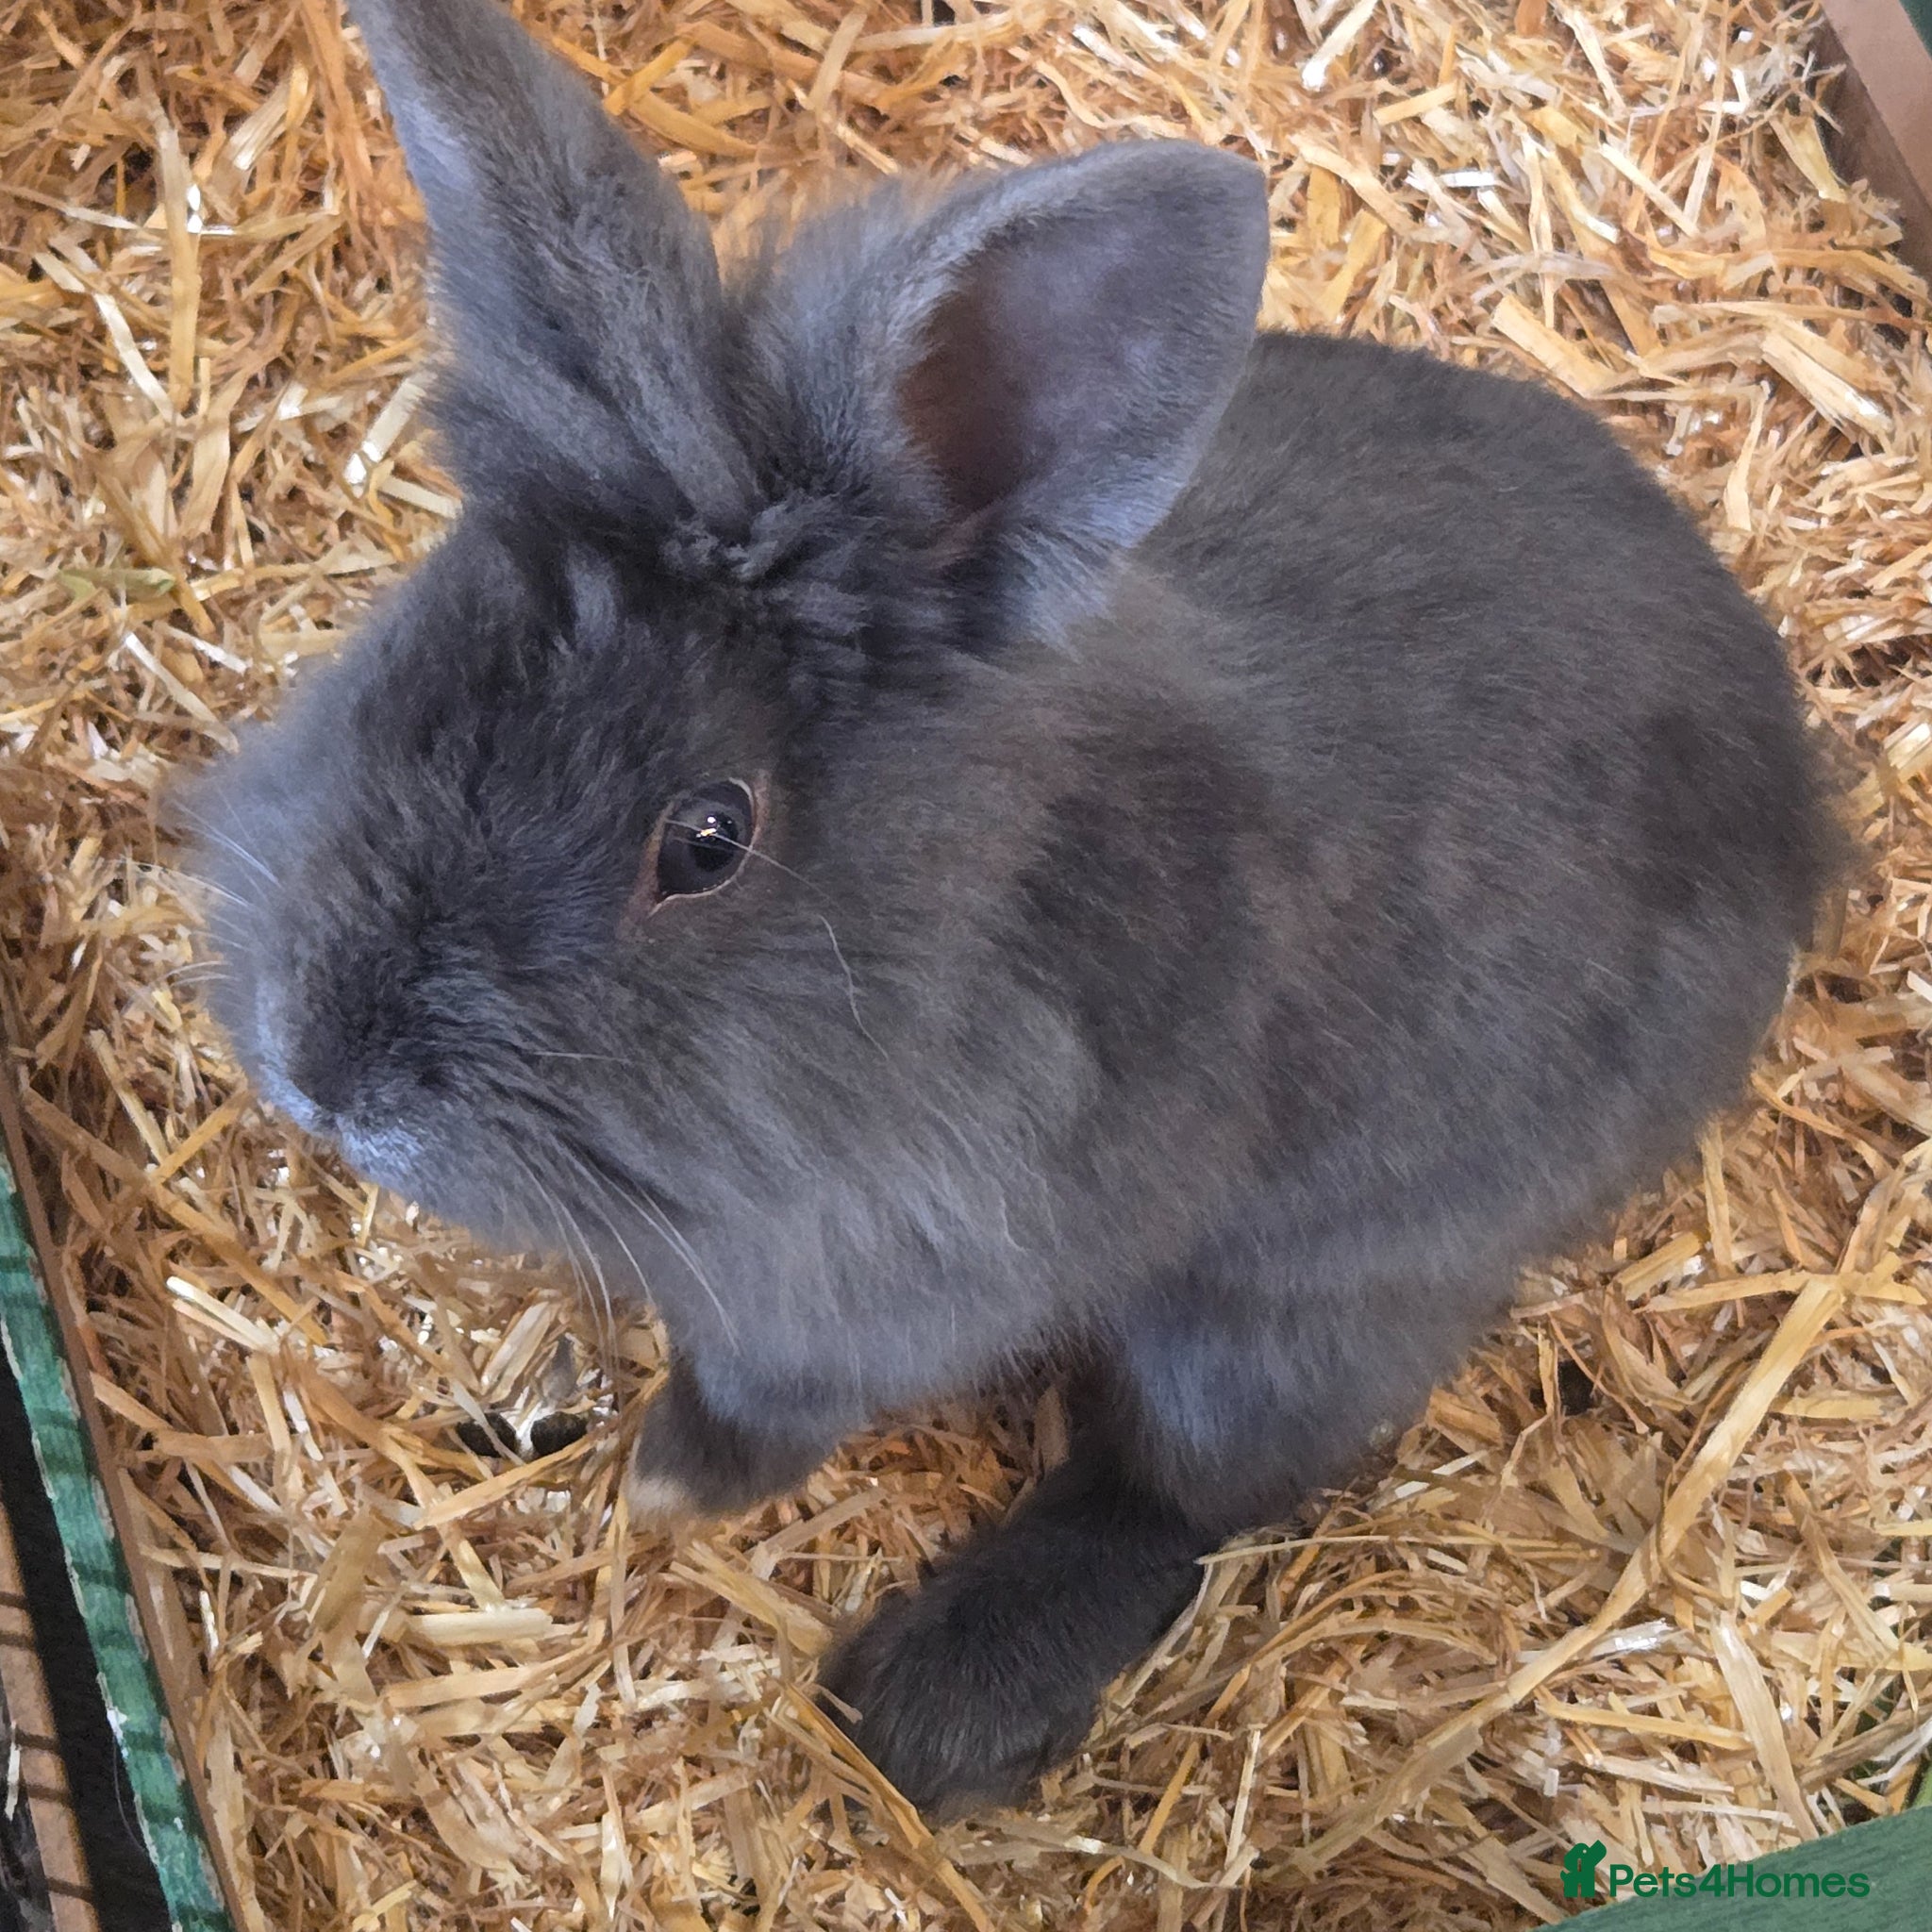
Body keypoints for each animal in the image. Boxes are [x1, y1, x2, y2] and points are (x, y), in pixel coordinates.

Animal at [185, 0, 1838, 1817]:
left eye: (707, 838)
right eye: (422, 631)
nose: (321, 1077)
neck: (957, 932)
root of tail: (1801, 798)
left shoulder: (864, 1296)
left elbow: (770, 1400)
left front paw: (667, 1489)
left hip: (1299, 1309)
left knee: (1183, 1494)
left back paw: (926, 1703)